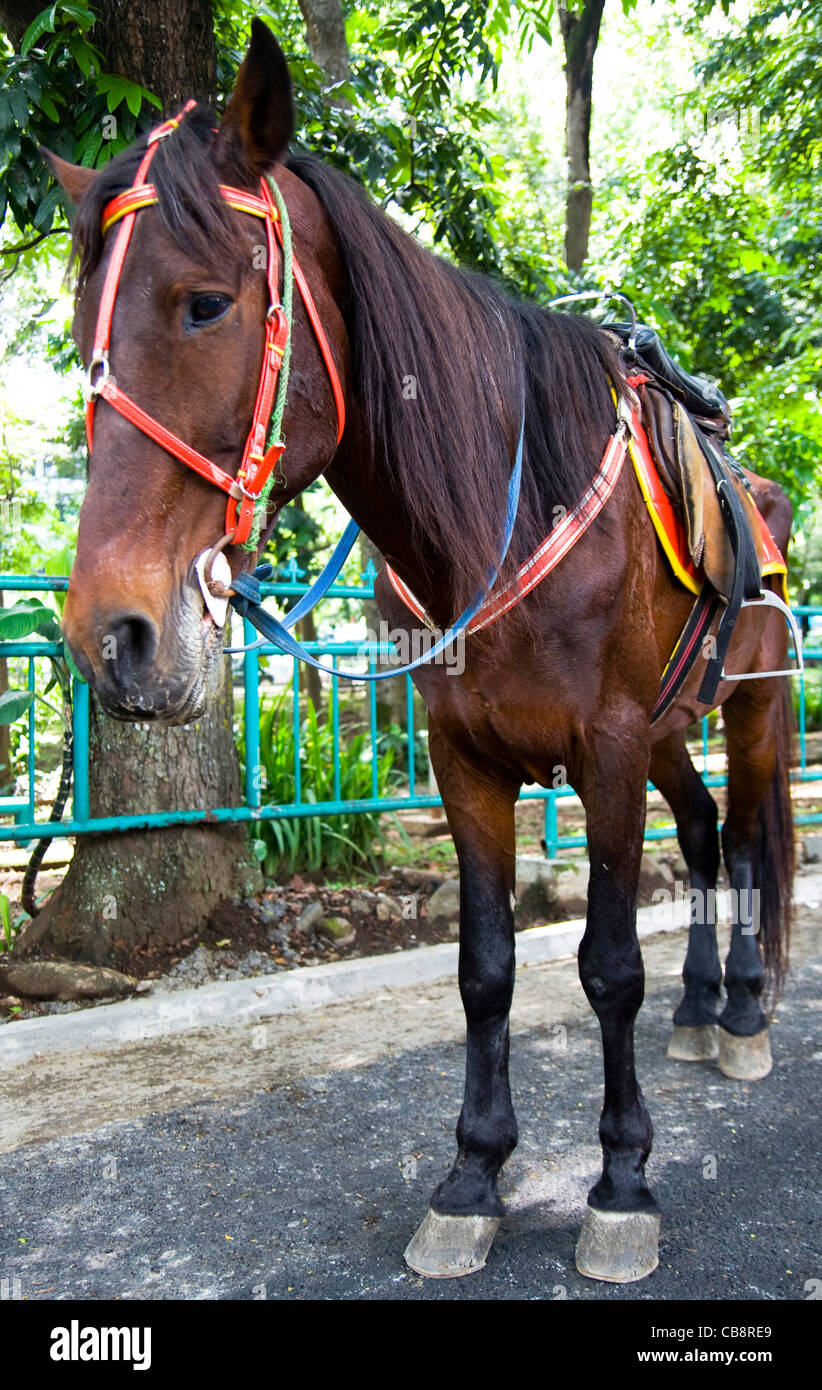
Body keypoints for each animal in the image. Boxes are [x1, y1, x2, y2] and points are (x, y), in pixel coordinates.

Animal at [48, 19, 795, 1278]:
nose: (116, 634)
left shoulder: (603, 751)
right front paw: (473, 1177)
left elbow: (608, 965)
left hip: (752, 704)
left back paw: (740, 1011)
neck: (506, 508)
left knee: (742, 844)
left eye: (205, 304)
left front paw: (622, 1183)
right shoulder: (466, 760)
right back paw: (701, 1009)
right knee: (699, 837)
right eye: (77, 328)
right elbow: (485, 968)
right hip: (670, 730)